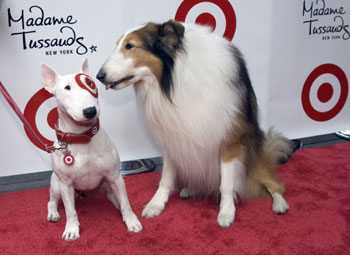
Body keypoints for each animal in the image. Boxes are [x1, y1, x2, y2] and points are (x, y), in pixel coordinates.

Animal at [96, 19, 292, 227]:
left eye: (130, 46)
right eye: (118, 44)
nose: (99, 76)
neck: (174, 80)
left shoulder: (229, 140)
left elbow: (227, 183)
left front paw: (226, 212)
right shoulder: (173, 137)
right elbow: (165, 178)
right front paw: (156, 204)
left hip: (254, 159)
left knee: (274, 185)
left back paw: (279, 204)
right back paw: (191, 189)